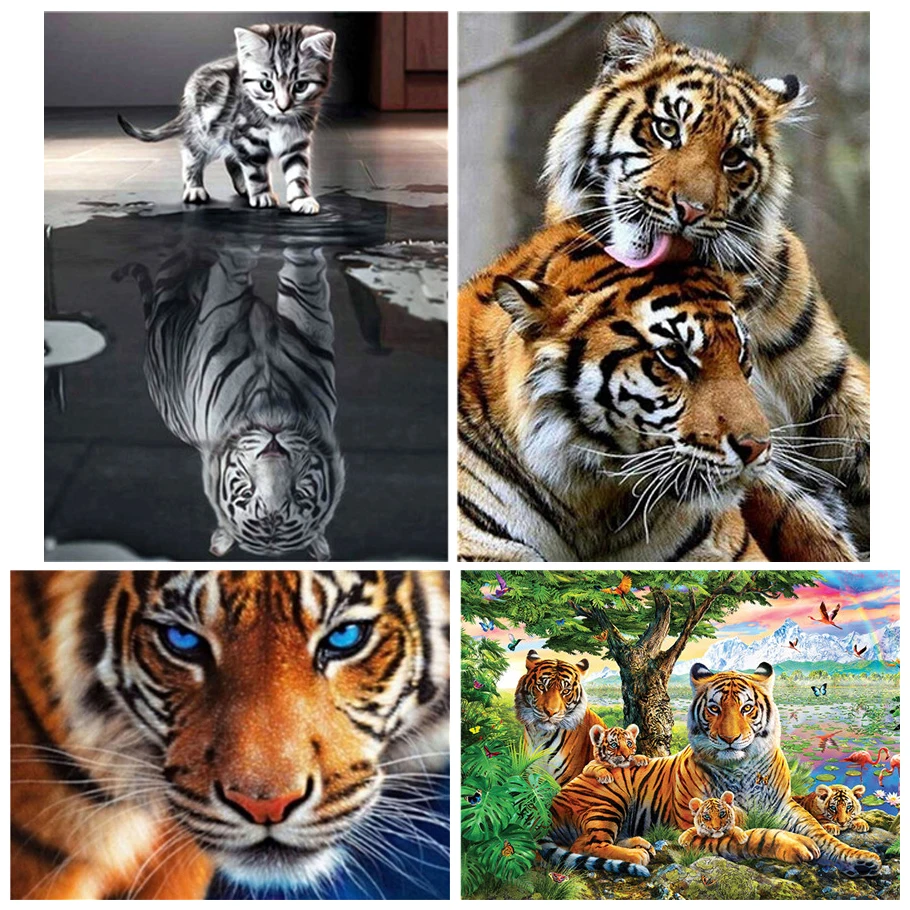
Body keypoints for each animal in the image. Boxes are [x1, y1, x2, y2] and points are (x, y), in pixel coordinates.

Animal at [113, 236, 344, 558]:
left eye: (299, 496)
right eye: (246, 494)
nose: (274, 446)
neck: (271, 399)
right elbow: (246, 270)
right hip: (173, 276)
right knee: (183, 259)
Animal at [541, 662, 881, 877]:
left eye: (747, 708)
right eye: (714, 708)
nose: (729, 738)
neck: (742, 769)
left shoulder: (785, 808)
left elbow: (822, 834)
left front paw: (862, 860)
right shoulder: (692, 830)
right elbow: (755, 836)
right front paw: (796, 845)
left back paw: (639, 843)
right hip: (607, 800)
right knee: (585, 843)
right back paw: (637, 854)